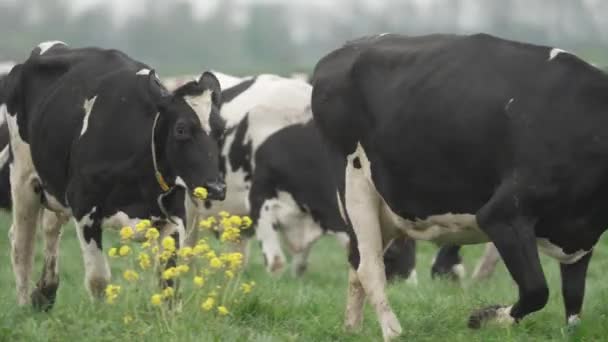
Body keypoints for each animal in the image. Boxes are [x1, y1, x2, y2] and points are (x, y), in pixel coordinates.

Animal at [1, 40, 224, 310]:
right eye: (181, 129)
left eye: (222, 129)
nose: (216, 187)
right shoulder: (85, 208)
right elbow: (98, 279)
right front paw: (99, 315)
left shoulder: (173, 215)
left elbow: (169, 280)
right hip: (23, 177)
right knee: (21, 244)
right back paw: (24, 304)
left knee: (51, 229)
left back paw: (45, 292)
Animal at [312, 31, 604, 340]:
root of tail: (344, 50)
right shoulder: (503, 214)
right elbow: (537, 290)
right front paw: (484, 317)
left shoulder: (581, 236)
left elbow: (574, 303)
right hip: (355, 184)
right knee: (369, 266)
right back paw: (392, 330)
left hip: (385, 210)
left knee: (356, 262)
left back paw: (352, 328)